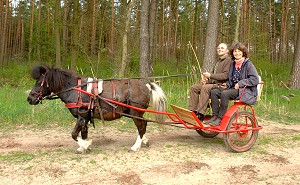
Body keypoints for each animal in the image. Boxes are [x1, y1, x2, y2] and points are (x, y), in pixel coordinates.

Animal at [27, 66, 166, 152]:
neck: (76, 90)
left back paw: (135, 147)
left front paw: (85, 145)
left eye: (39, 82)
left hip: (135, 112)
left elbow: (74, 134)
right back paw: (144, 141)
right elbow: (83, 133)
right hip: (136, 113)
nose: (29, 98)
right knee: (144, 124)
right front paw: (83, 147)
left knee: (141, 126)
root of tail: (146, 85)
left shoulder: (82, 116)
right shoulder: (86, 118)